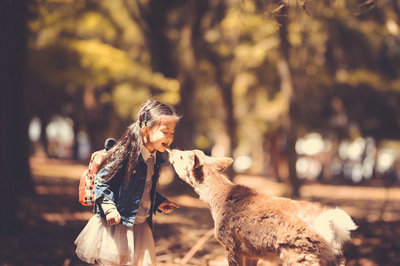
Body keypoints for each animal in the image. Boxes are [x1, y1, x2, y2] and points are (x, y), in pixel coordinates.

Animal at [168, 150, 356, 266]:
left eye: (183, 157)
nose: (172, 150)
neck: (216, 202)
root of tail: (333, 227)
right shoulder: (251, 252)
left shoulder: (231, 244)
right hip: (334, 258)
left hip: (300, 254)